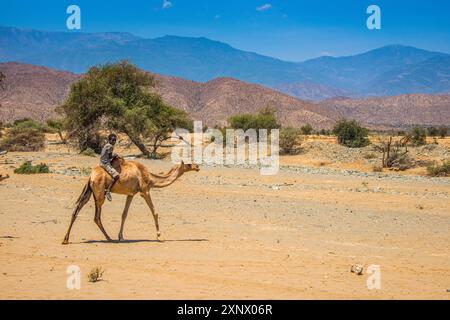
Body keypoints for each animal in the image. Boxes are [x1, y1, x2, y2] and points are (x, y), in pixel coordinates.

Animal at [61, 158, 199, 245]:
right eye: (188, 164)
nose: (197, 166)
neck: (150, 178)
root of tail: (90, 176)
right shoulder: (145, 191)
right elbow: (155, 212)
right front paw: (159, 236)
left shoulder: (130, 194)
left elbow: (124, 214)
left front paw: (121, 237)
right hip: (99, 194)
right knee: (96, 216)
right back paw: (108, 238)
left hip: (89, 192)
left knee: (76, 210)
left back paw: (65, 239)